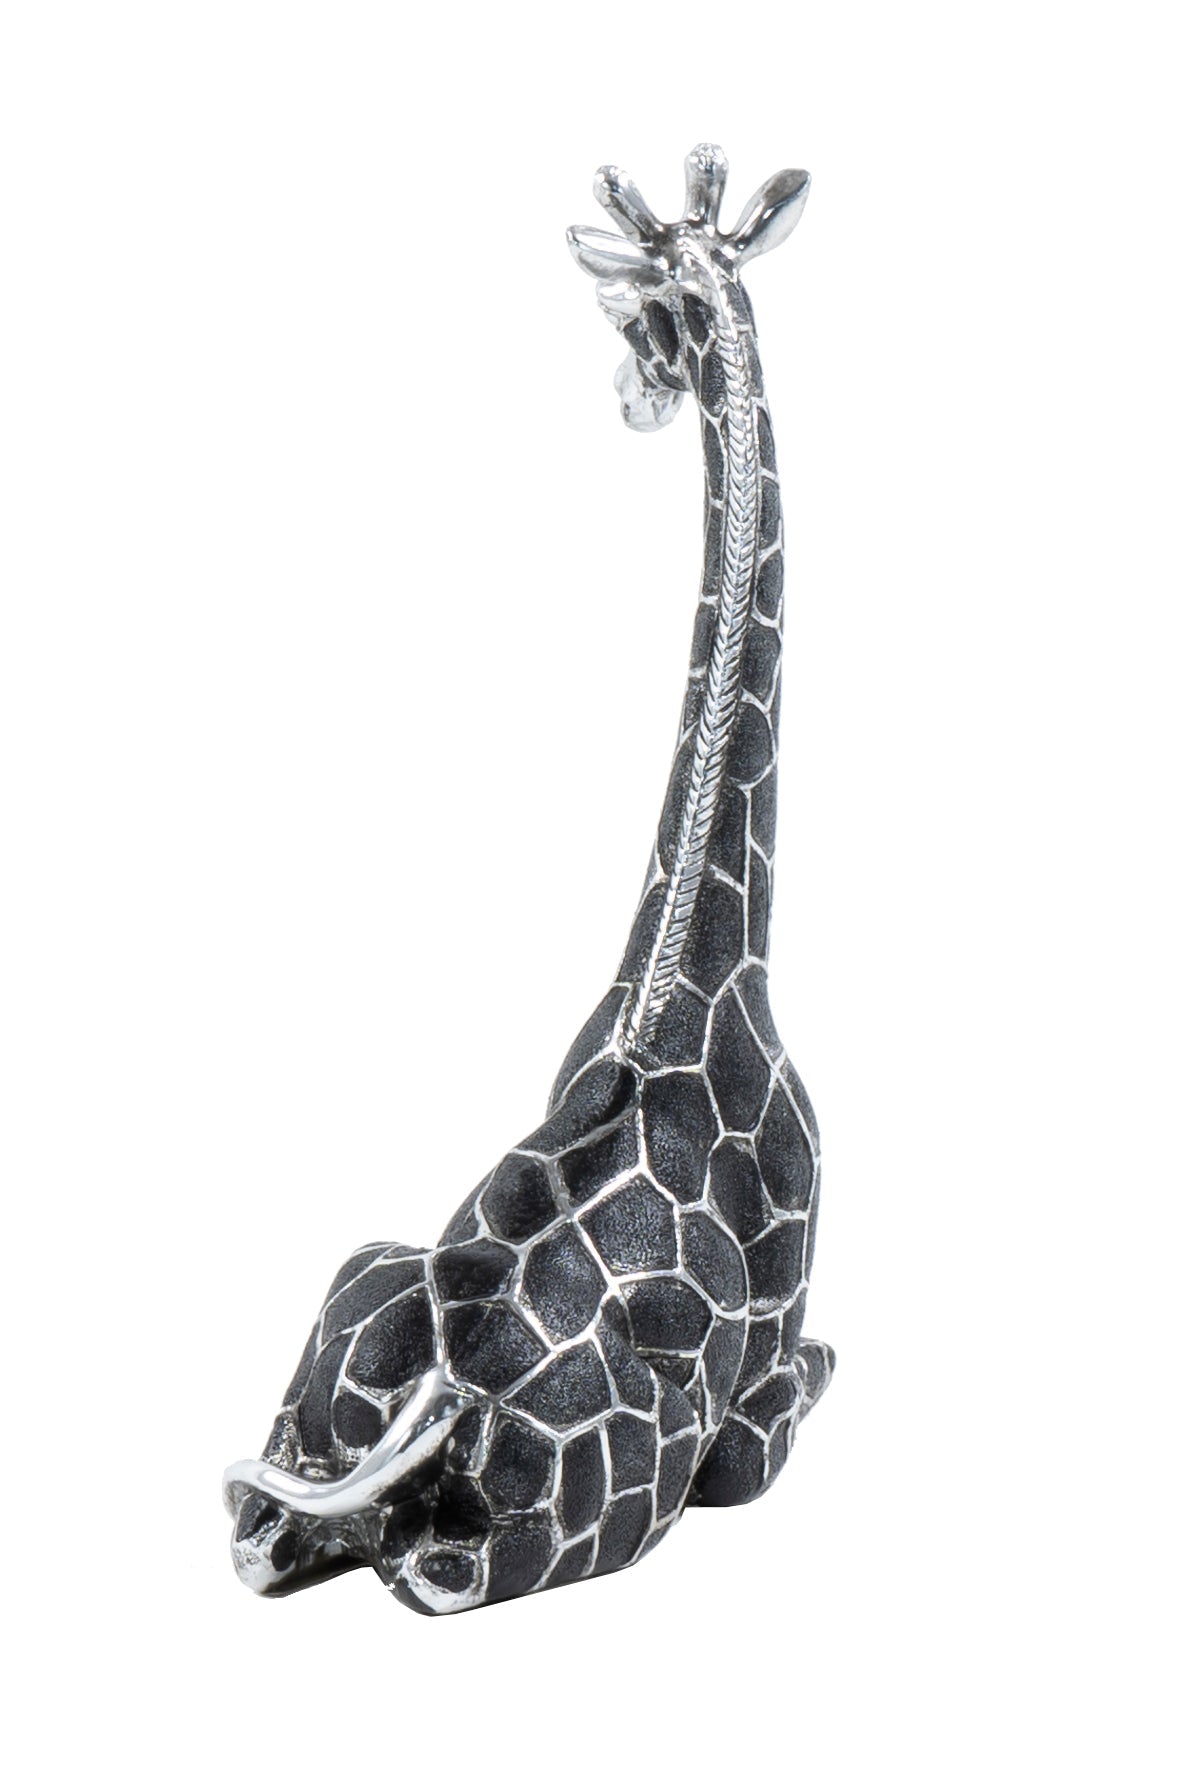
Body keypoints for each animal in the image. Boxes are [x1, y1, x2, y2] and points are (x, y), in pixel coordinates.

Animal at [224, 144, 834, 1614]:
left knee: (262, 1527)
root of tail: (431, 1402)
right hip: (621, 1496)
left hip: (342, 1292)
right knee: (452, 1568)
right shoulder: (785, 1327)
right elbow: (804, 1379)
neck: (712, 983)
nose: (634, 392)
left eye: (649, 310)